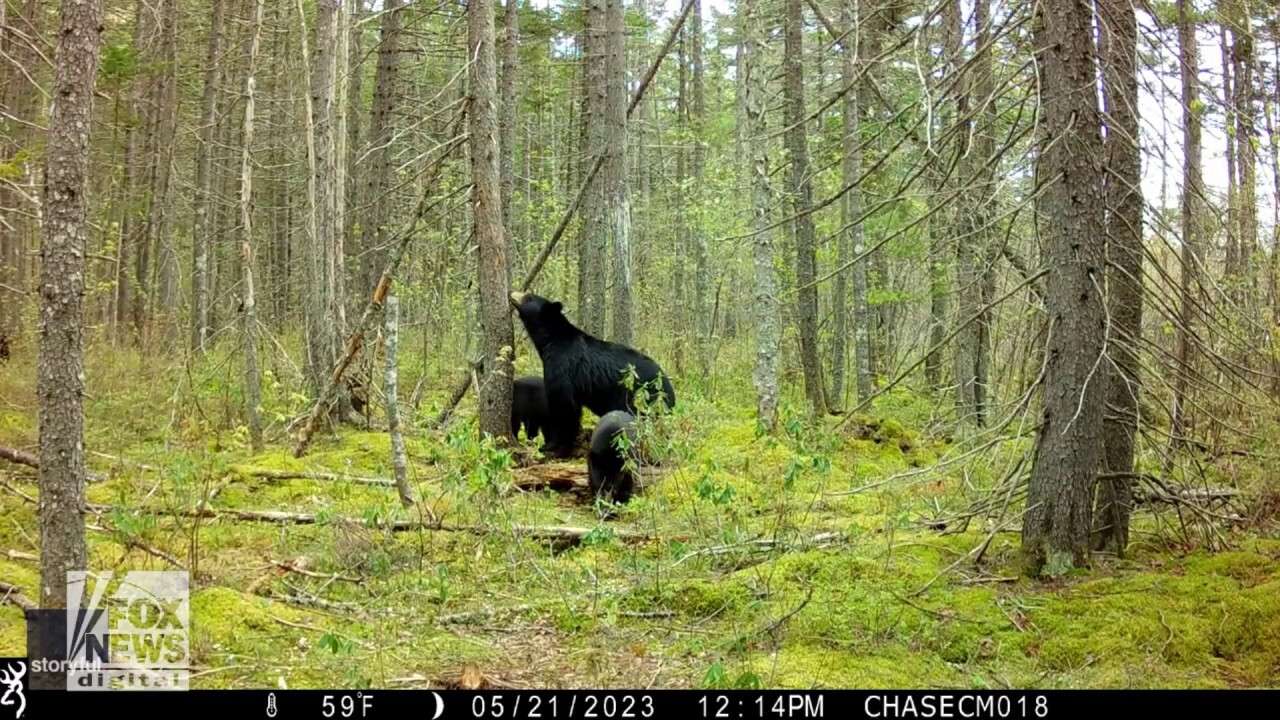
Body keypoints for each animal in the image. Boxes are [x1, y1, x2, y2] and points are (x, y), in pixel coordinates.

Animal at [509, 289, 675, 453]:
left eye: (529, 296)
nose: (512, 293)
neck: (550, 341)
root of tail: (668, 387)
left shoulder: (562, 367)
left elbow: (563, 407)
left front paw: (553, 445)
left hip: (642, 399)